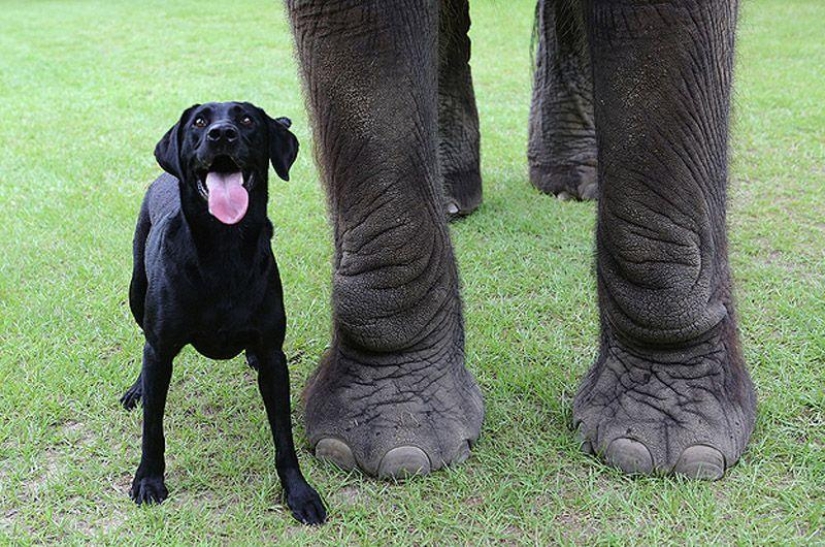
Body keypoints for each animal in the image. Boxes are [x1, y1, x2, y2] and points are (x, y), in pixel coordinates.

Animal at [120, 101, 326, 528]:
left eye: (246, 119)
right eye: (199, 122)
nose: (222, 134)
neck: (224, 248)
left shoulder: (274, 357)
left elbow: (283, 436)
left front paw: (299, 492)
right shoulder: (161, 348)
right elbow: (153, 427)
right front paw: (148, 479)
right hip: (136, 291)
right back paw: (137, 388)